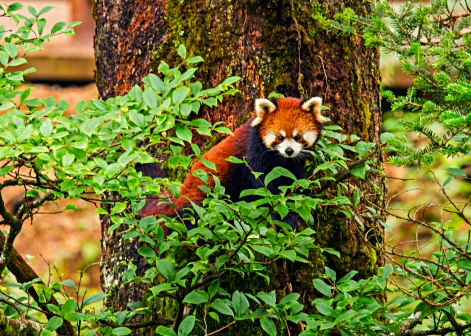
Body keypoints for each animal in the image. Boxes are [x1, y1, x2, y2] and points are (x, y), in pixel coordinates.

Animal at [138, 96, 326, 234]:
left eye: (297, 137)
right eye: (279, 137)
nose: (289, 150)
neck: (281, 159)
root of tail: (178, 199)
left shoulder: (294, 163)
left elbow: (294, 180)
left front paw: (303, 195)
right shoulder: (253, 153)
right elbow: (264, 185)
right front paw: (282, 217)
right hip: (202, 197)